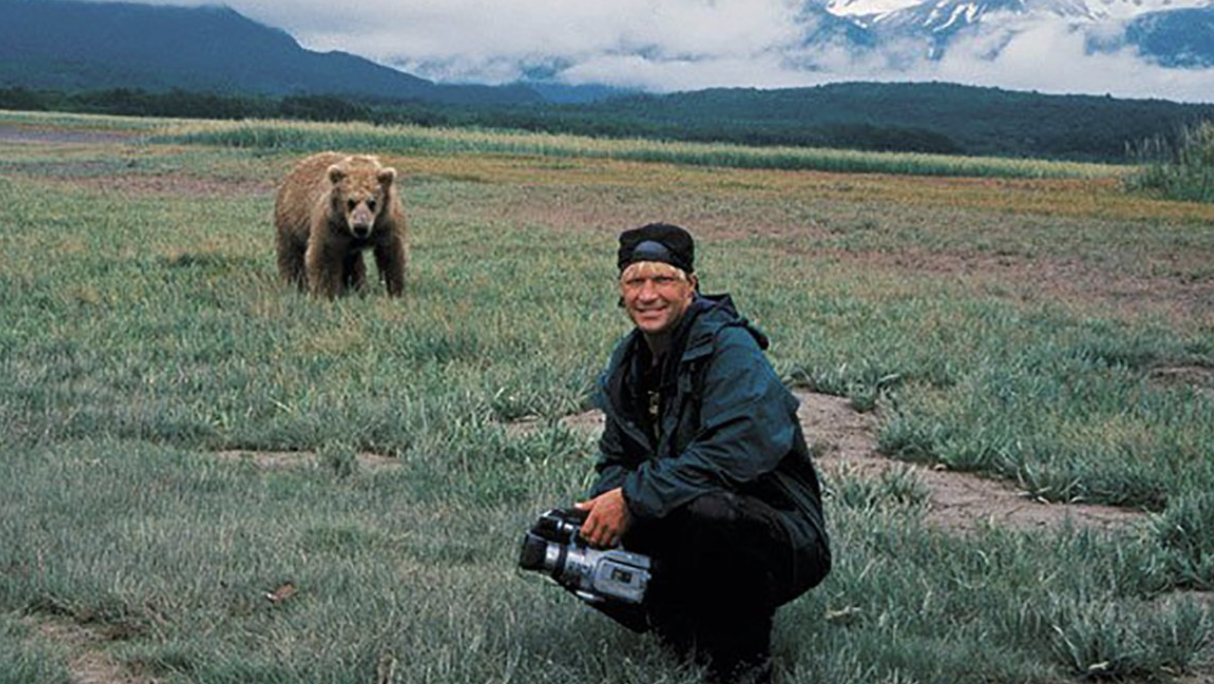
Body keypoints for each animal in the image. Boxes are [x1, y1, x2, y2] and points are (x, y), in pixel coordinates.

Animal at [274, 152, 407, 297]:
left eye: (372, 202)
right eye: (350, 201)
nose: (360, 227)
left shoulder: (386, 222)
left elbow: (391, 254)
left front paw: (394, 290)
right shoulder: (332, 223)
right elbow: (325, 255)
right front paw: (326, 293)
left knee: (352, 262)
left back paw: (355, 287)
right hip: (291, 220)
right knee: (291, 252)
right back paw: (294, 283)